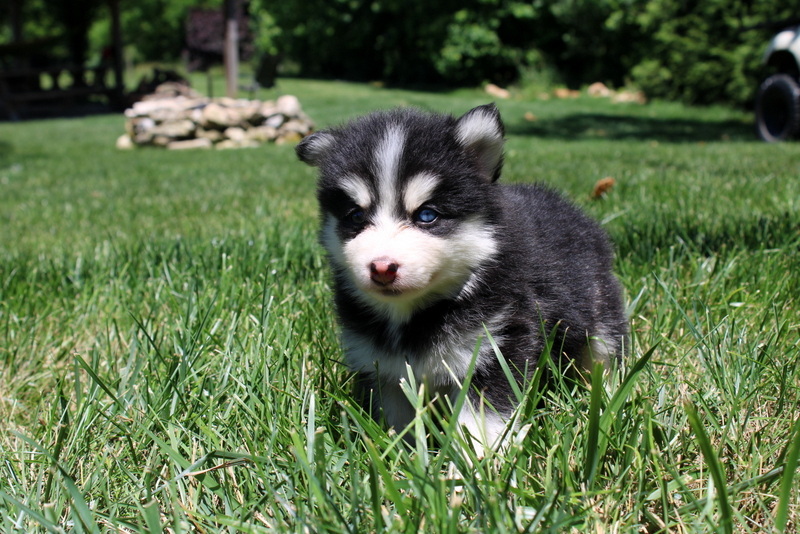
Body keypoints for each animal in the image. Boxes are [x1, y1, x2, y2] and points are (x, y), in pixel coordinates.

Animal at [296, 103, 628, 448]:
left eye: (427, 214)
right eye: (356, 216)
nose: (382, 267)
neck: (415, 316)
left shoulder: (497, 345)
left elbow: (484, 418)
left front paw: (476, 459)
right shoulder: (381, 366)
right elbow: (396, 422)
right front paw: (401, 452)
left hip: (599, 314)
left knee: (603, 354)